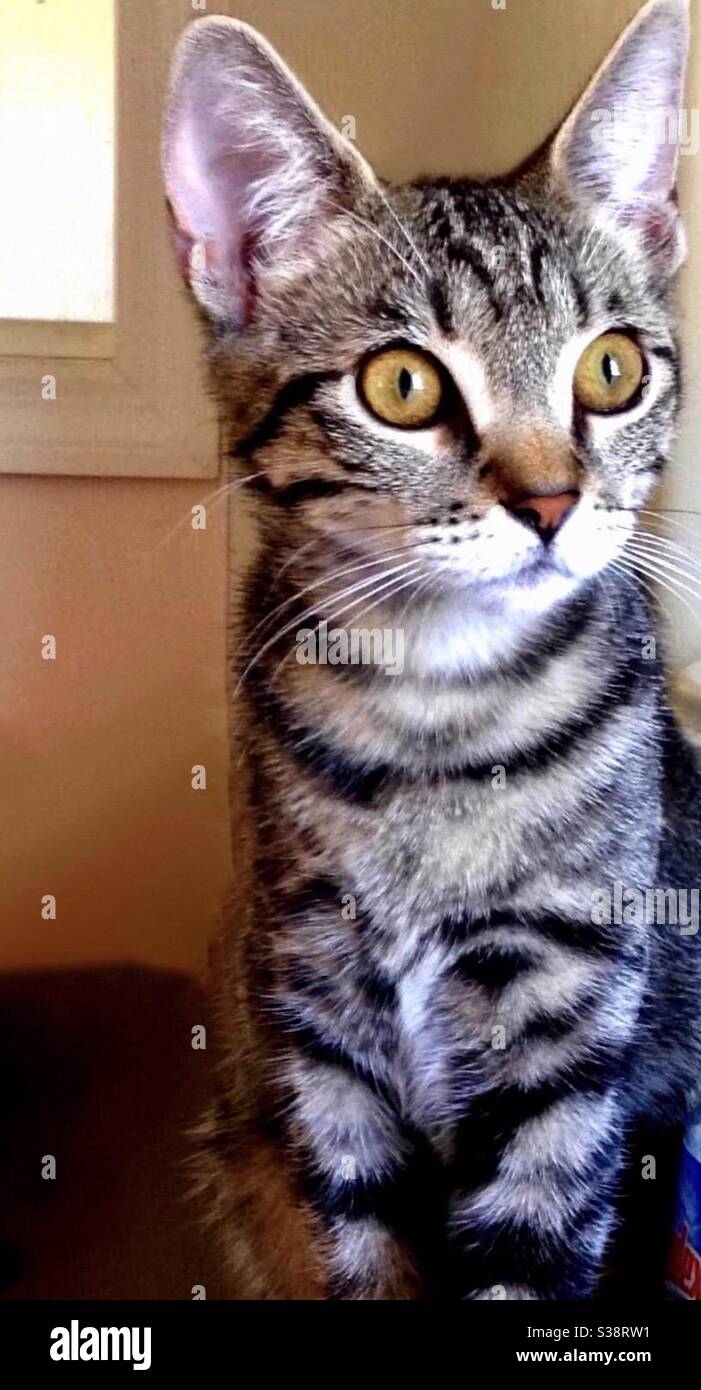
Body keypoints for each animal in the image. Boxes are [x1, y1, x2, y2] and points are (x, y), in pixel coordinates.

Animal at [161, 0, 701, 1295]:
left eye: (611, 369)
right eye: (400, 386)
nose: (552, 502)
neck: (435, 712)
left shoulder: (563, 1024)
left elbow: (526, 1245)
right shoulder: (313, 1015)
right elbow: (355, 1243)